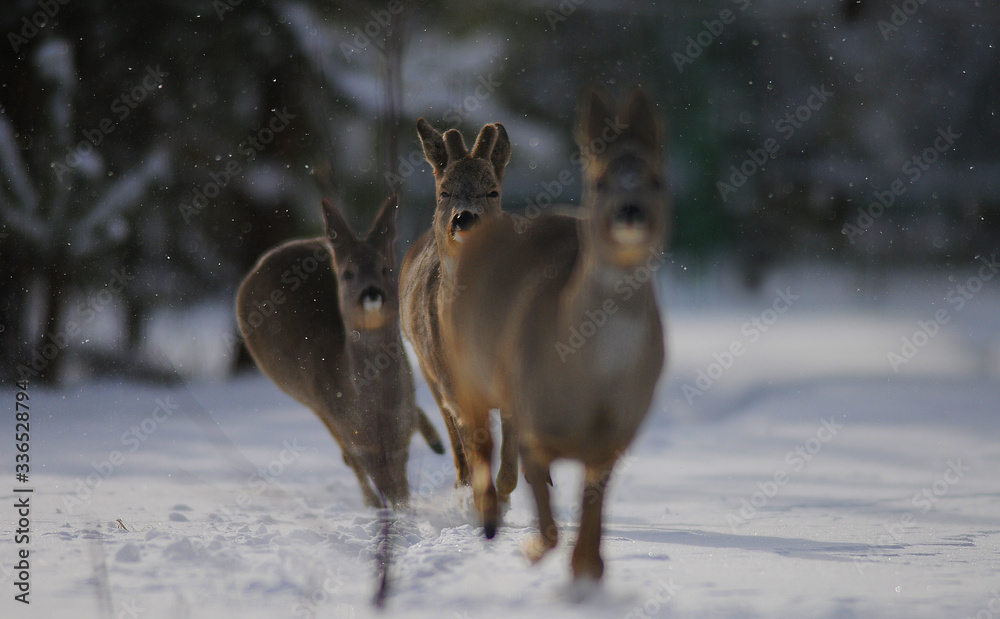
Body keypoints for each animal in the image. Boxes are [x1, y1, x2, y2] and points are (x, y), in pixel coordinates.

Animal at [236, 194, 445, 510]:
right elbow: (376, 477)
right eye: (348, 273)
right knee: (346, 453)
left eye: (386, 268)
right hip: (307, 398)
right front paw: (388, 514)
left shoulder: (399, 436)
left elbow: (400, 486)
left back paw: (437, 443)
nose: (371, 292)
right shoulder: (352, 430)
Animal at [399, 120, 520, 500]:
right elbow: (474, 454)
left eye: (492, 191)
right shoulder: (455, 386)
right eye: (444, 192)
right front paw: (483, 499)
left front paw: (505, 494)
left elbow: (509, 465)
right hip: (428, 372)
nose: (464, 217)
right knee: (454, 444)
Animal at [441, 87, 669, 580]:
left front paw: (585, 570)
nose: (631, 212)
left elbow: (589, 550)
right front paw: (528, 548)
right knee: (479, 441)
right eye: (599, 181)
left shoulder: (614, 438)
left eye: (657, 179)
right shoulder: (534, 422)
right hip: (467, 370)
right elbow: (547, 527)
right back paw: (487, 518)